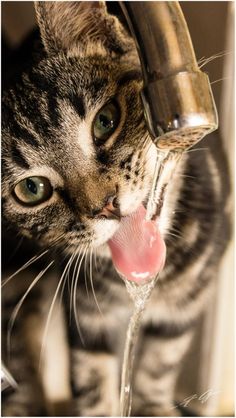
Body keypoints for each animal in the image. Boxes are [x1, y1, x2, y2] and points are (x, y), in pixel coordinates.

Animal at [1, 1, 230, 416]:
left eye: (105, 121)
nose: (104, 206)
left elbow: (159, 364)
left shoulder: (186, 303)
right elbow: (92, 380)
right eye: (31, 189)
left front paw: (153, 405)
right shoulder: (85, 313)